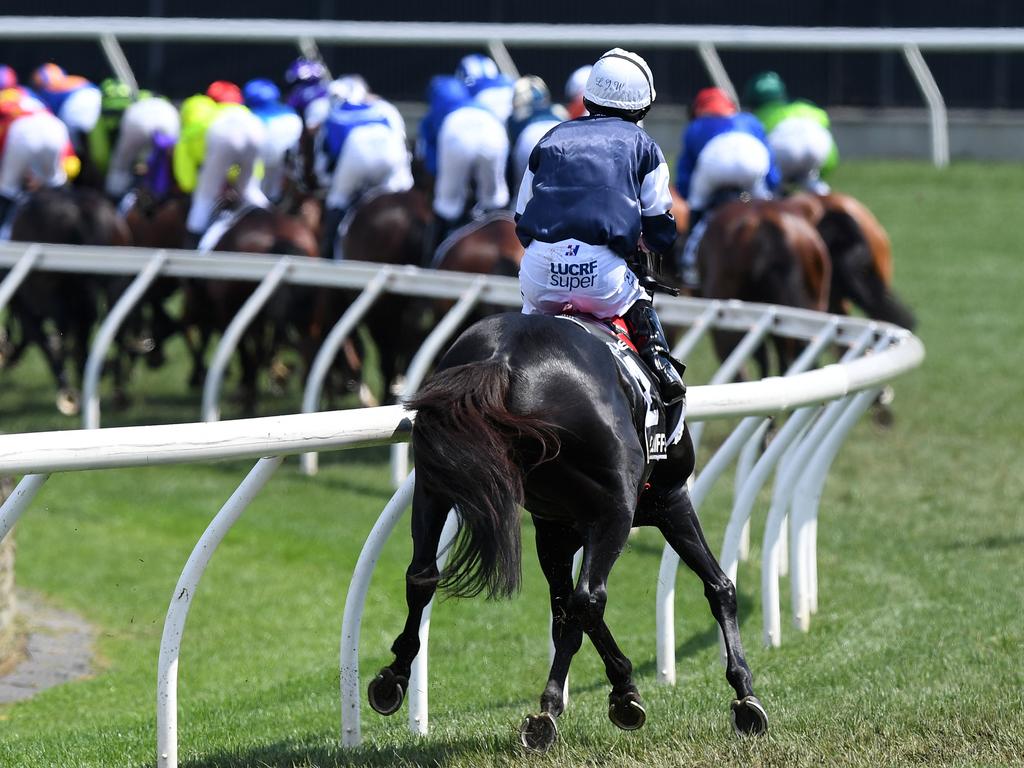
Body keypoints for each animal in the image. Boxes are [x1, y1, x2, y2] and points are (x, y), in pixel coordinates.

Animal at [368, 311, 770, 753]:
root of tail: (502, 361)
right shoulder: (667, 501)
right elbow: (719, 587)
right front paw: (745, 696)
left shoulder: (554, 529)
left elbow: (563, 615)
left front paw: (623, 689)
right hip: (615, 510)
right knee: (590, 598)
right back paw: (546, 715)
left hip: (433, 482)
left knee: (422, 574)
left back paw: (392, 677)